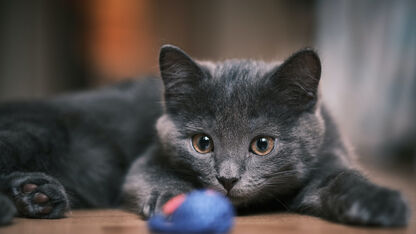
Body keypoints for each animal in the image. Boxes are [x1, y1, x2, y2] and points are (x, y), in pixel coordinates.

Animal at [121, 44, 410, 226]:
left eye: (263, 144)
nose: (227, 179)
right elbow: (147, 173)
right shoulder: (150, 156)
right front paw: (172, 199)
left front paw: (379, 202)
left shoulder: (329, 153)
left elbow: (342, 177)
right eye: (202, 143)